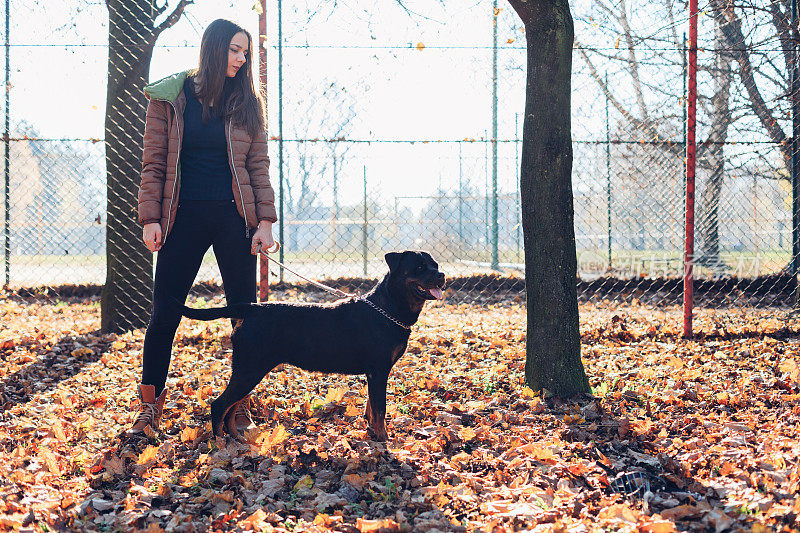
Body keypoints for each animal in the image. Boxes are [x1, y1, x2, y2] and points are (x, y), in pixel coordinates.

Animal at [180, 249, 444, 440]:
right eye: (420, 267)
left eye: (436, 265)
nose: (441, 276)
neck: (388, 308)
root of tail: (252, 308)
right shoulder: (378, 371)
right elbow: (380, 409)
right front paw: (383, 439)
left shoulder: (375, 373)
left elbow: (371, 407)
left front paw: (372, 433)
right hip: (249, 370)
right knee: (219, 405)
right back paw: (220, 445)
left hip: (248, 371)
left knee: (231, 407)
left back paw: (236, 439)